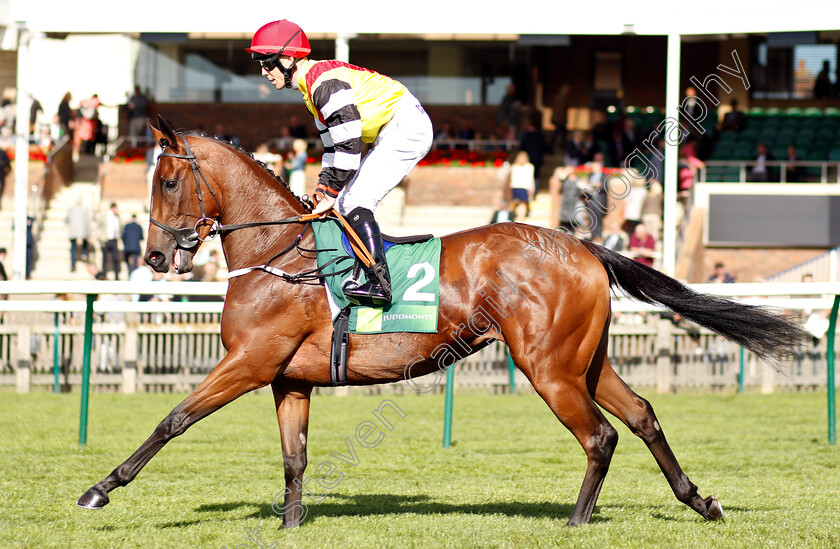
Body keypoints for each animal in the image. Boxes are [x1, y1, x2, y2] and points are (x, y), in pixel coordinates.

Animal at [79, 116, 808, 528]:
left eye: (168, 182)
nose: (153, 255)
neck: (279, 252)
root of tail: (582, 246)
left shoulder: (250, 360)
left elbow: (172, 419)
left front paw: (100, 489)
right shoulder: (289, 377)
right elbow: (294, 457)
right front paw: (289, 525)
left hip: (547, 366)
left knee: (600, 436)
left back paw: (577, 521)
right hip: (585, 360)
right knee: (644, 415)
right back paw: (699, 500)